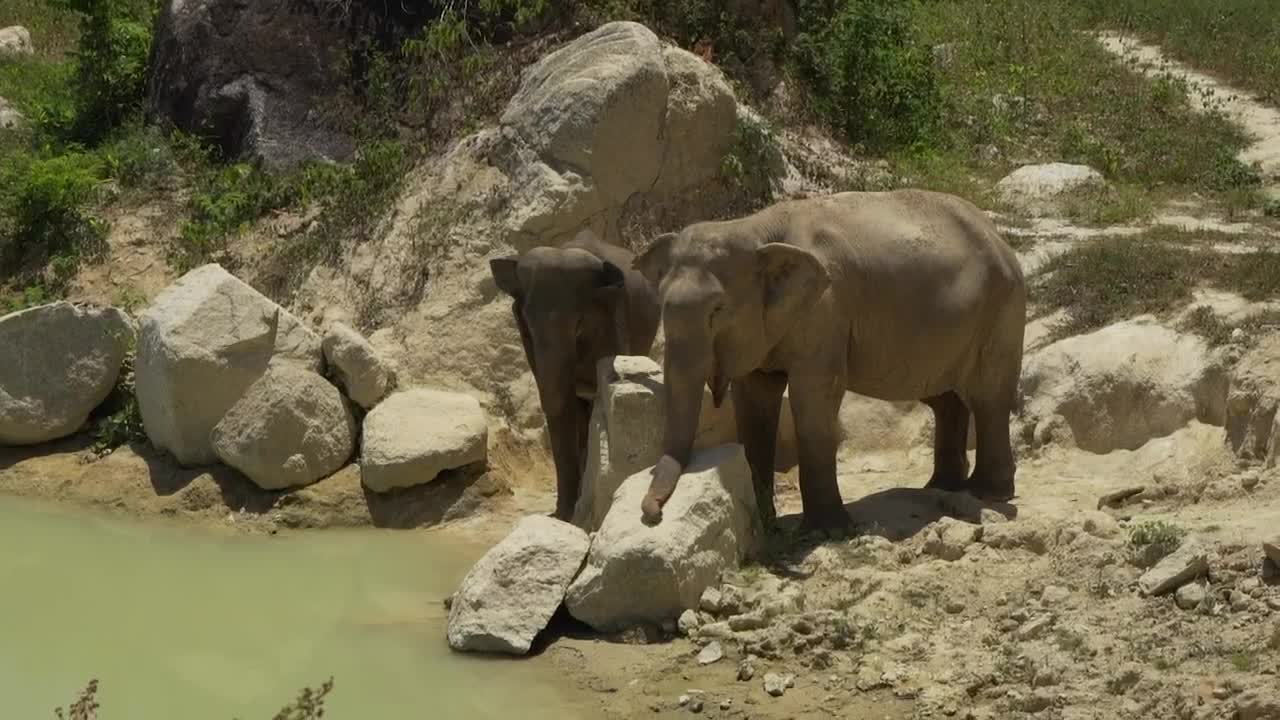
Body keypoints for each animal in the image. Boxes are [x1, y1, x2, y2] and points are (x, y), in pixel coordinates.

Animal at [633, 189, 1026, 531]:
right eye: (661, 301)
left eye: (717, 309)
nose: (653, 515)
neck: (755, 228)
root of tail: (999, 237)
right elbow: (755, 401)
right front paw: (768, 526)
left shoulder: (826, 311)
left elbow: (814, 395)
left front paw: (827, 530)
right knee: (944, 398)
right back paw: (942, 487)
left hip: (1001, 308)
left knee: (988, 396)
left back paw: (987, 492)